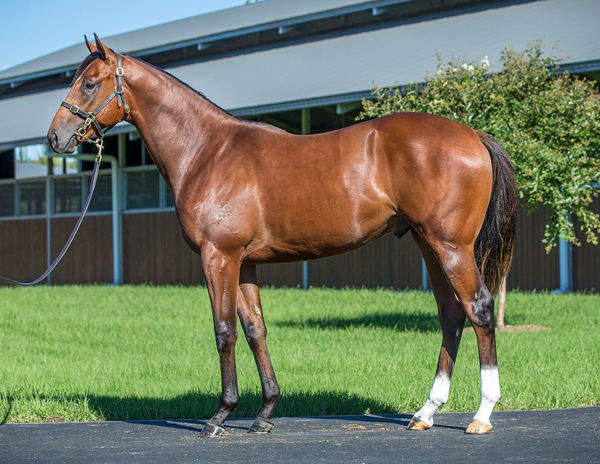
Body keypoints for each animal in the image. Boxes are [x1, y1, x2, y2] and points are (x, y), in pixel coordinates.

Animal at [48, 35, 516, 436]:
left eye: (89, 83)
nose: (55, 138)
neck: (207, 152)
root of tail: (473, 135)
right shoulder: (245, 263)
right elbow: (256, 330)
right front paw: (265, 412)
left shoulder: (218, 256)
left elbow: (224, 330)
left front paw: (220, 416)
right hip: (428, 245)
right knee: (451, 316)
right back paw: (425, 413)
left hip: (451, 247)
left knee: (478, 310)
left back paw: (482, 414)